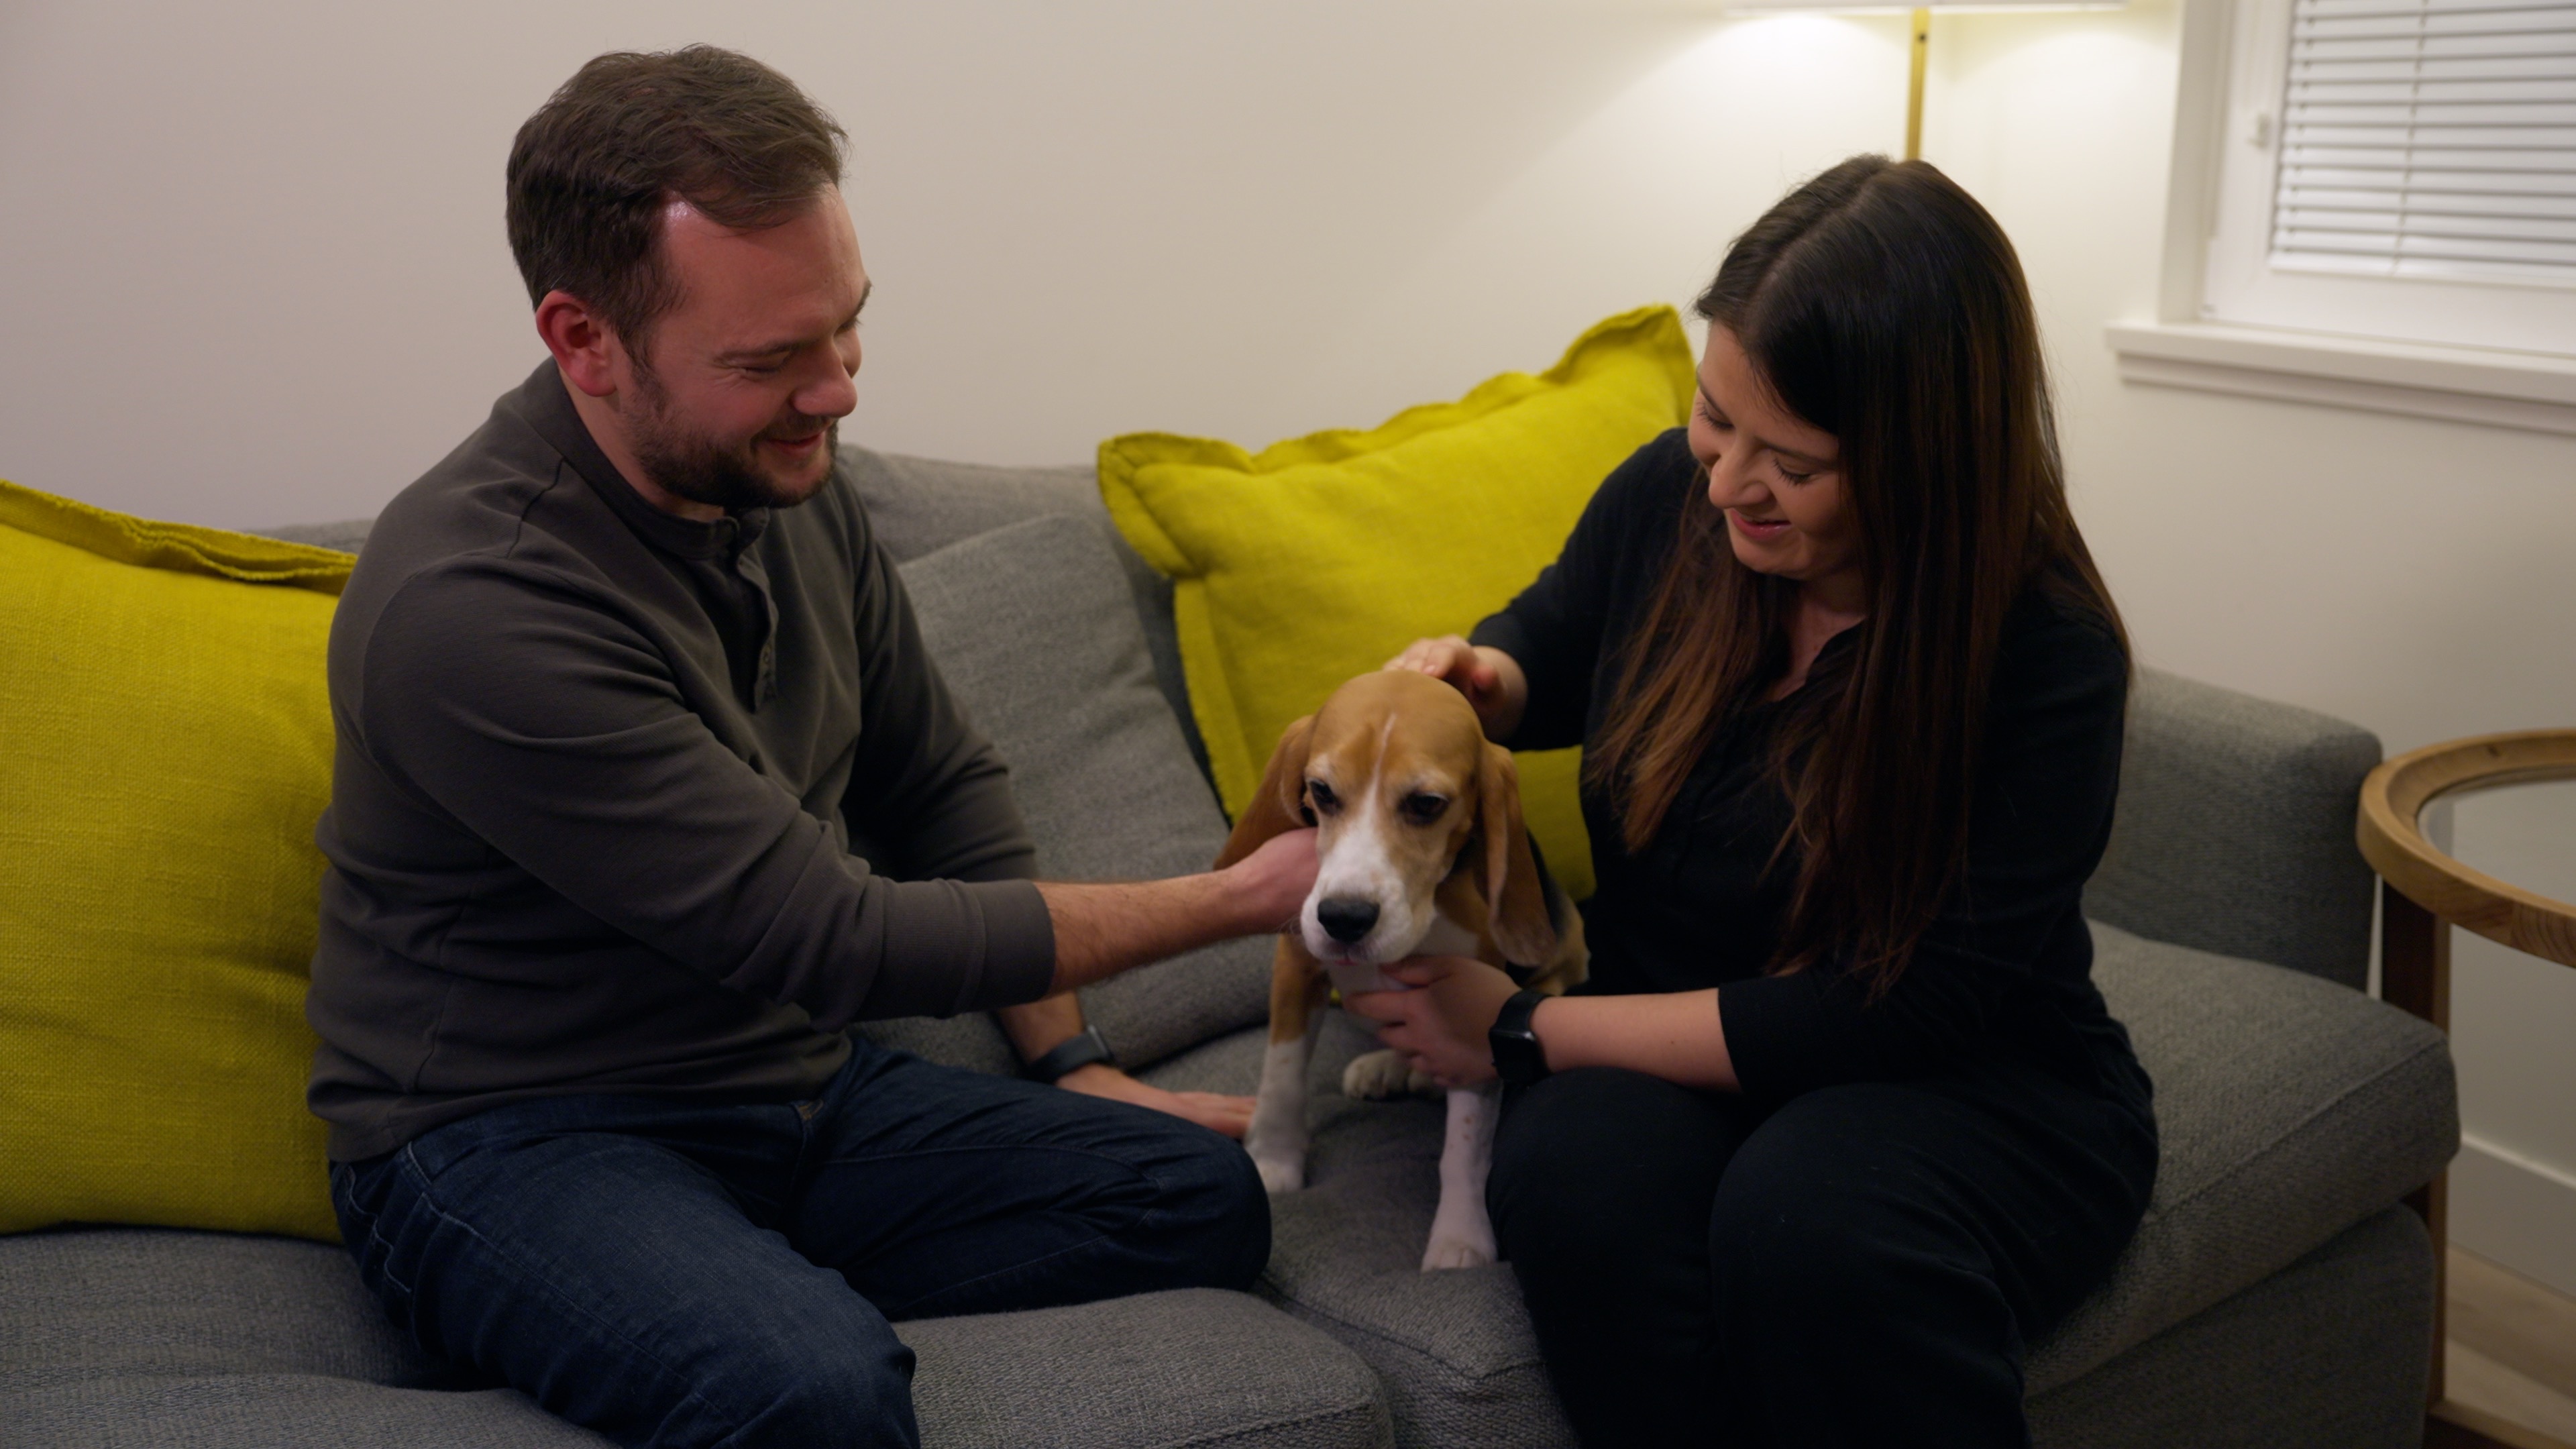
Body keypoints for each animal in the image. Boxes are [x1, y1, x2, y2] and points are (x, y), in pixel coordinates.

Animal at [1210, 665, 1587, 1263]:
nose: (1344, 918)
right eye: (1322, 792)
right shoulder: (1297, 963)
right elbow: (1282, 1074)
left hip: (1565, 957)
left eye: (1427, 803)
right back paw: (1389, 1065)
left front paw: (1460, 1237)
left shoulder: (1471, 1021)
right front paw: (1273, 1157)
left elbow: (1464, 1147)